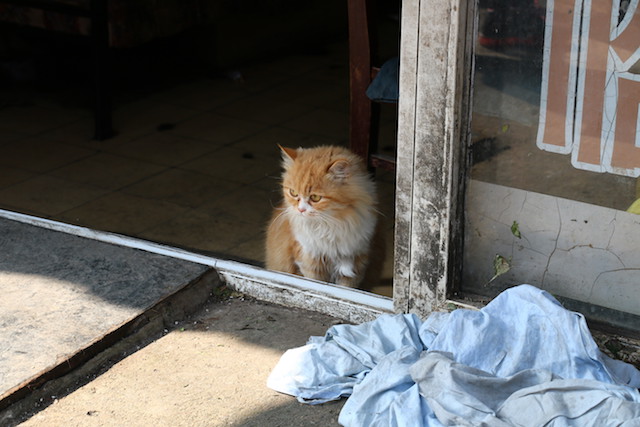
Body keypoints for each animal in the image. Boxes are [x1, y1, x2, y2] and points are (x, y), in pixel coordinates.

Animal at [264, 145, 384, 290]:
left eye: (315, 198)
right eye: (293, 193)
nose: (301, 210)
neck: (332, 226)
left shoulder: (355, 262)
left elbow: (346, 288)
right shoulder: (310, 261)